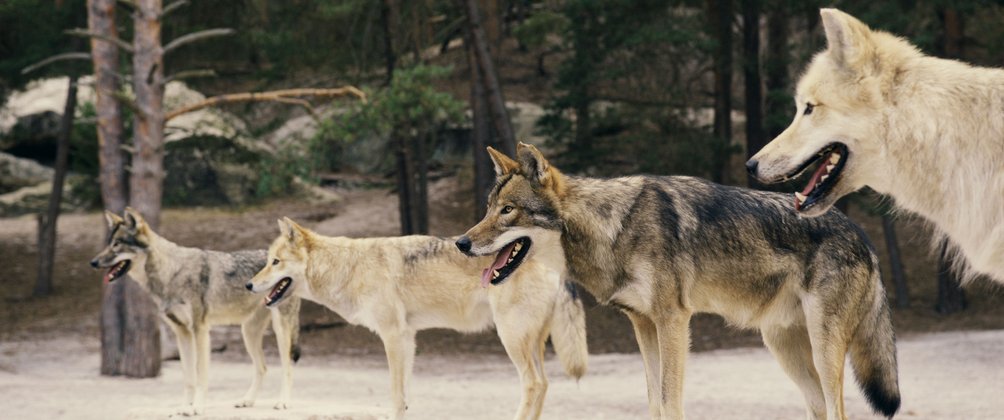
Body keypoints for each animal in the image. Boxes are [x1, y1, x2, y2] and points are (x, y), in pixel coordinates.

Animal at [89, 208, 301, 415]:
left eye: (117, 244)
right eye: (108, 244)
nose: (93, 262)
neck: (171, 273)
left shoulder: (200, 330)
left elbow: (200, 375)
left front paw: (197, 407)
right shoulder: (182, 333)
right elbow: (189, 378)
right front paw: (185, 407)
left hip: (280, 331)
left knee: (287, 367)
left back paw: (283, 402)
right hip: (248, 333)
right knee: (263, 368)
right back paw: (247, 400)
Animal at [246, 217, 587, 420]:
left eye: (275, 262)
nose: (249, 285)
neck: (348, 268)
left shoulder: (393, 336)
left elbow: (396, 393)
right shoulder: (408, 338)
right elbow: (405, 392)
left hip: (511, 339)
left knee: (533, 384)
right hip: (532, 344)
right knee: (544, 384)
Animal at [457, 144, 900, 420]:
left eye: (508, 211)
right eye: (489, 209)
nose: (461, 242)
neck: (611, 229)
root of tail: (862, 235)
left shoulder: (673, 321)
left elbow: (671, 401)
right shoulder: (643, 324)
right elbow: (654, 401)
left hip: (823, 347)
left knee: (839, 409)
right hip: (782, 346)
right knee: (821, 407)